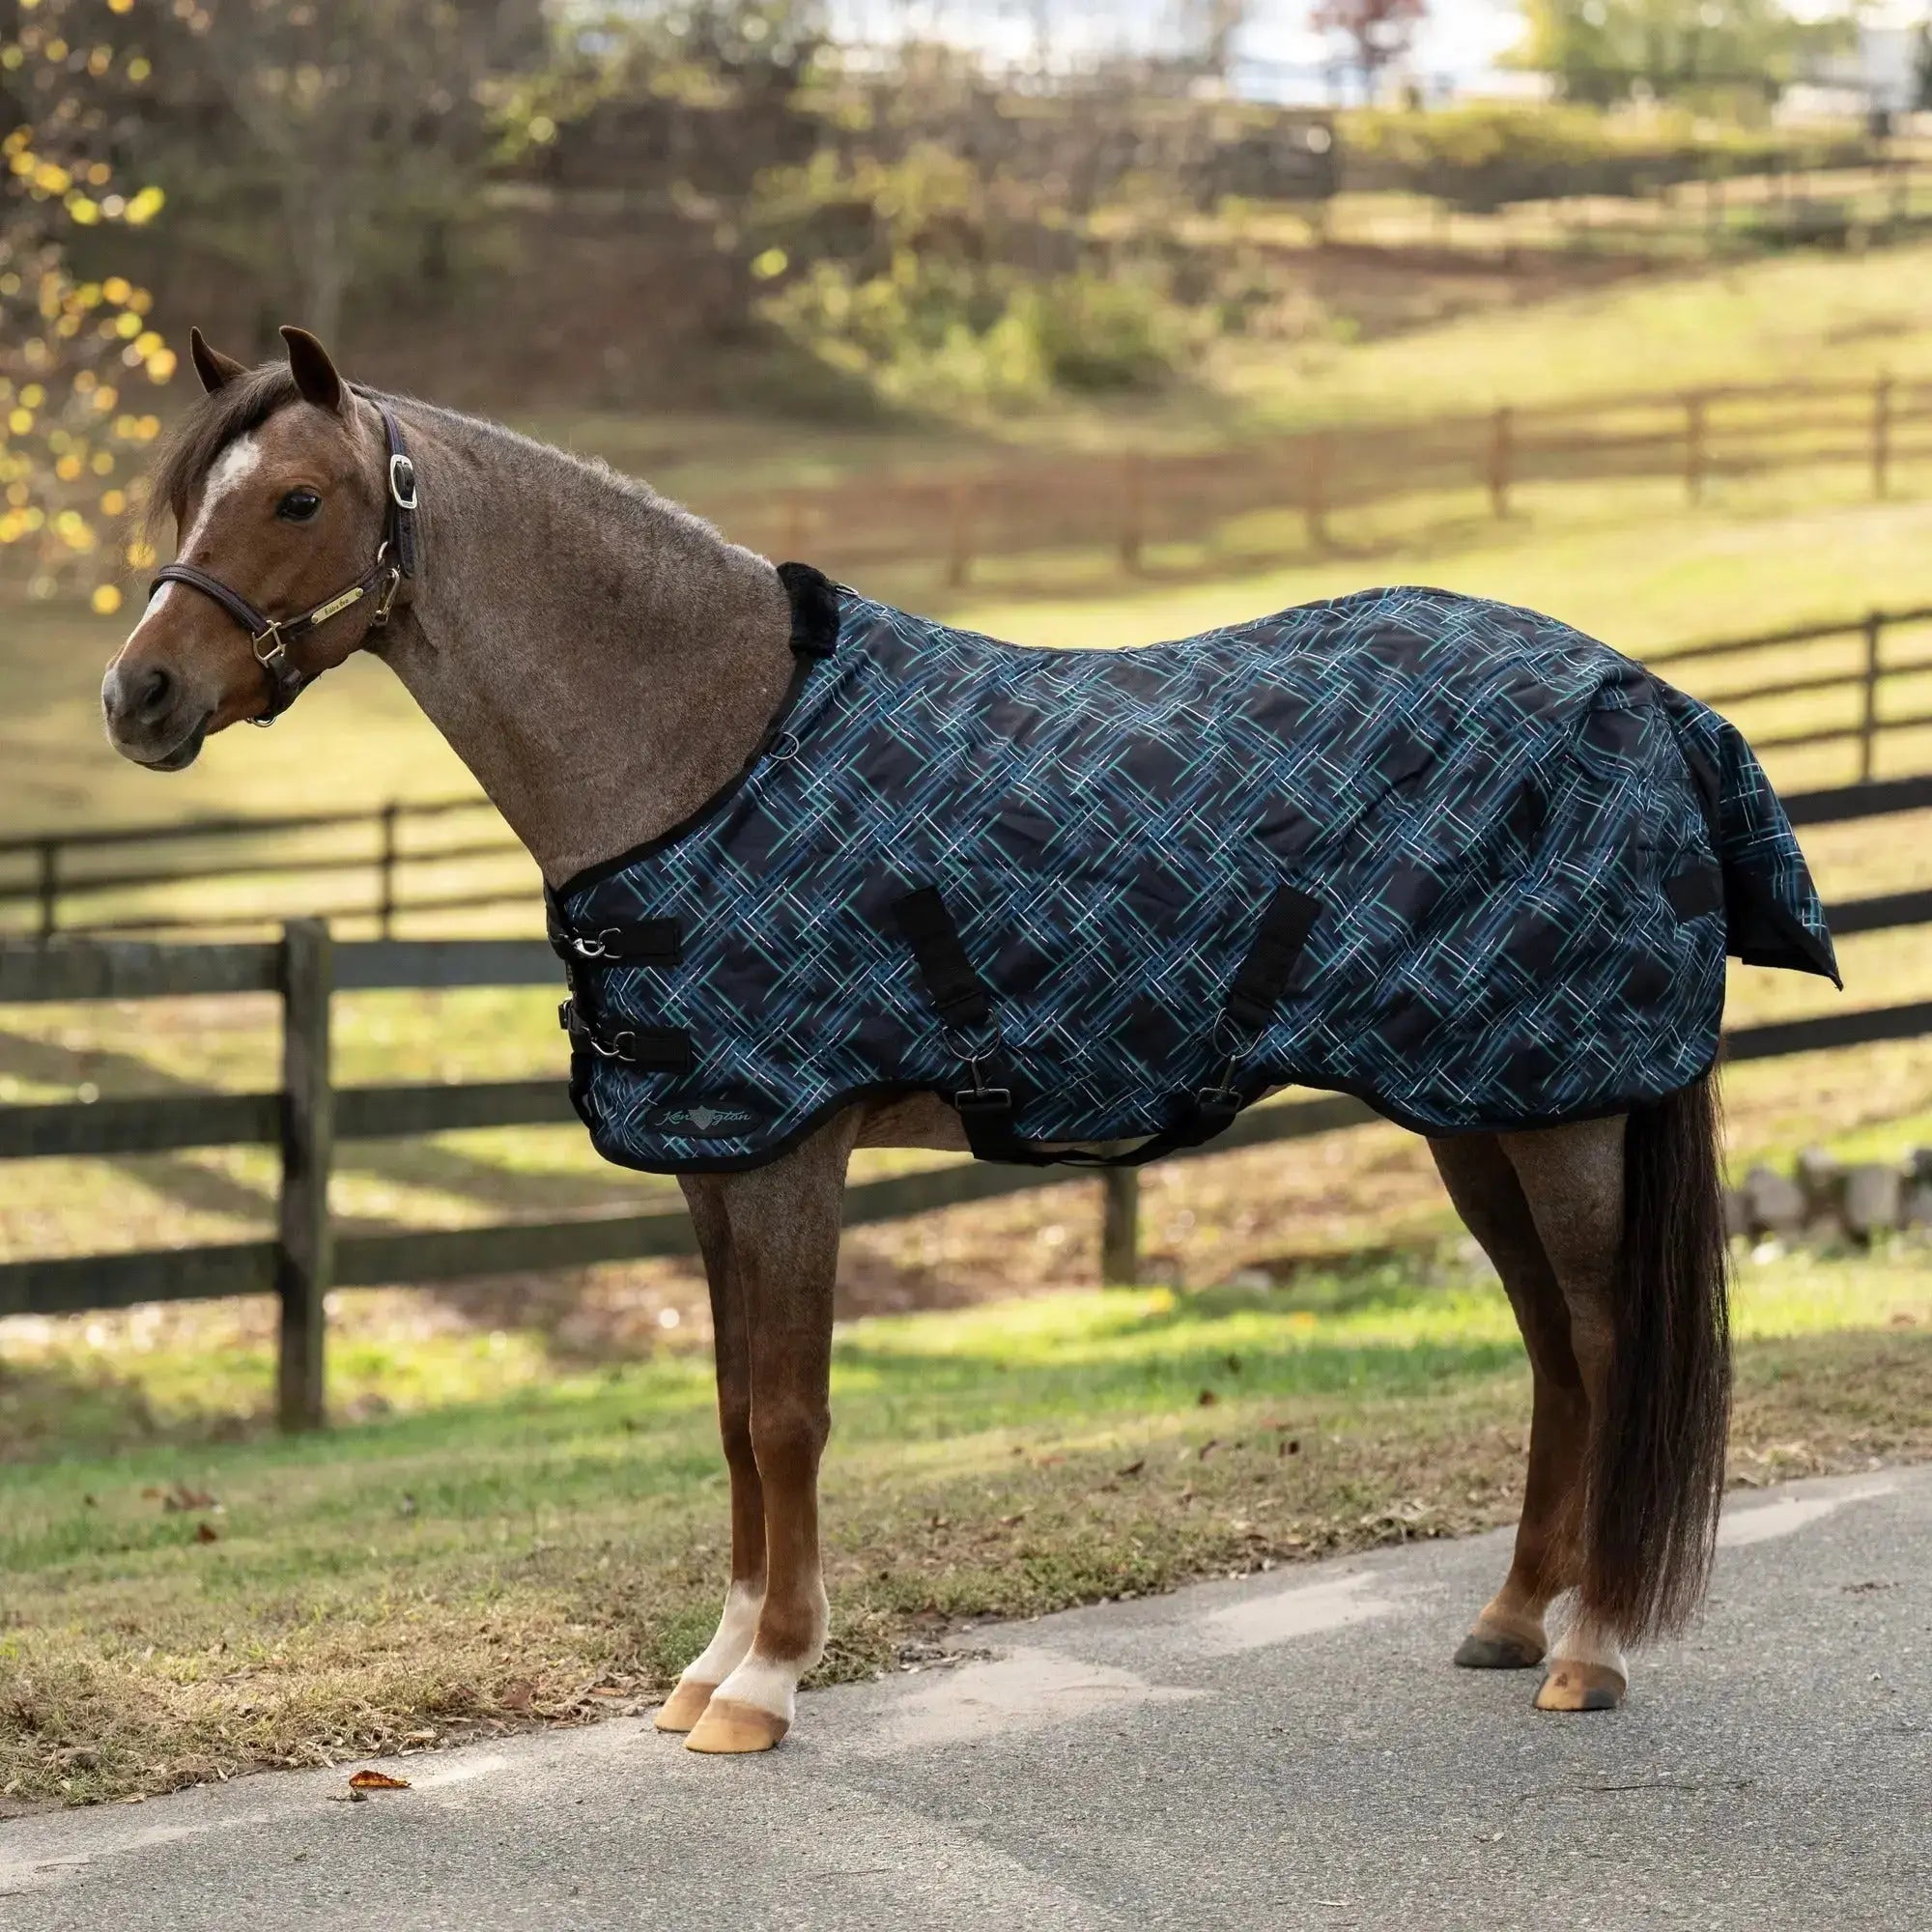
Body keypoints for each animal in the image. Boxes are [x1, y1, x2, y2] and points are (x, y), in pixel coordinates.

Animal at [100, 325, 1833, 1755]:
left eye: (300, 498)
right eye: (193, 493)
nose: (141, 697)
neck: (703, 741)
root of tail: (1650, 699)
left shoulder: (791, 1155)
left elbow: (786, 1416)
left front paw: (766, 1685)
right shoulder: (716, 1163)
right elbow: (730, 1415)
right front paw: (709, 1668)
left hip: (1562, 1118)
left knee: (1605, 1346)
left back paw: (1590, 1651)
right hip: (1484, 1109)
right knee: (1555, 1353)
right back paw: (1511, 1621)